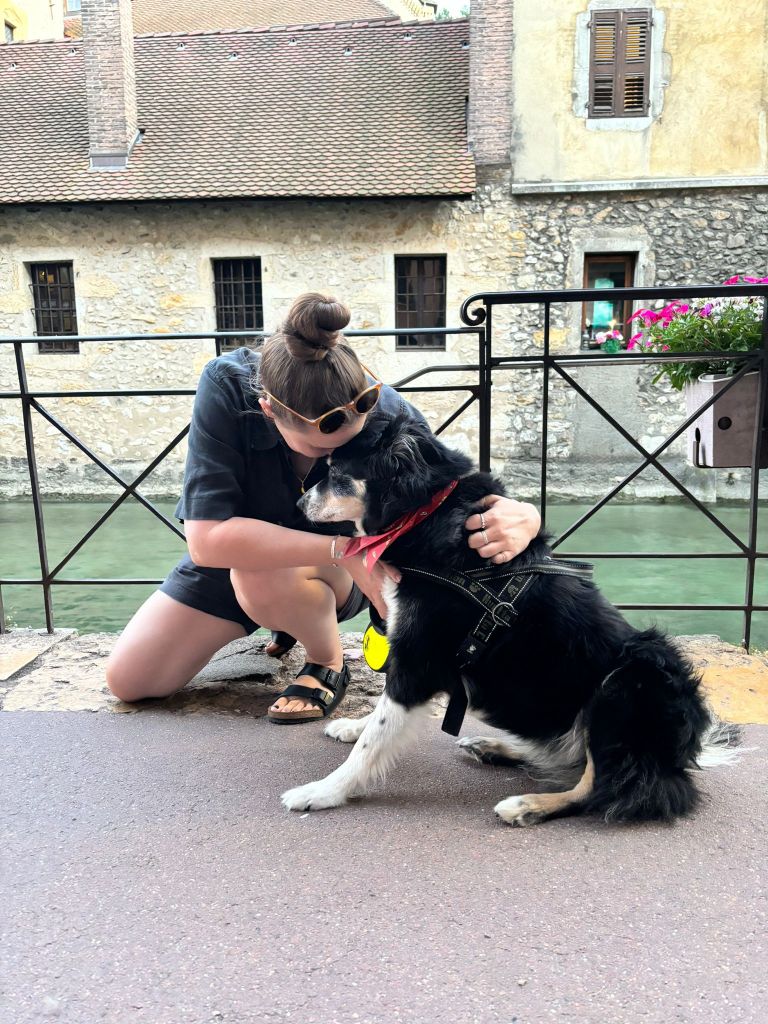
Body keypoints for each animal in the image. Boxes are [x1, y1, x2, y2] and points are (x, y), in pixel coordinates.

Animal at [281, 416, 740, 826]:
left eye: (336, 473)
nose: (299, 504)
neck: (426, 511)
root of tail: (683, 753)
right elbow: (377, 716)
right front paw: (352, 727)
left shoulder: (420, 659)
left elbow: (374, 739)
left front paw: (323, 791)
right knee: (572, 759)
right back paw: (496, 748)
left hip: (631, 675)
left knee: (608, 787)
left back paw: (528, 805)